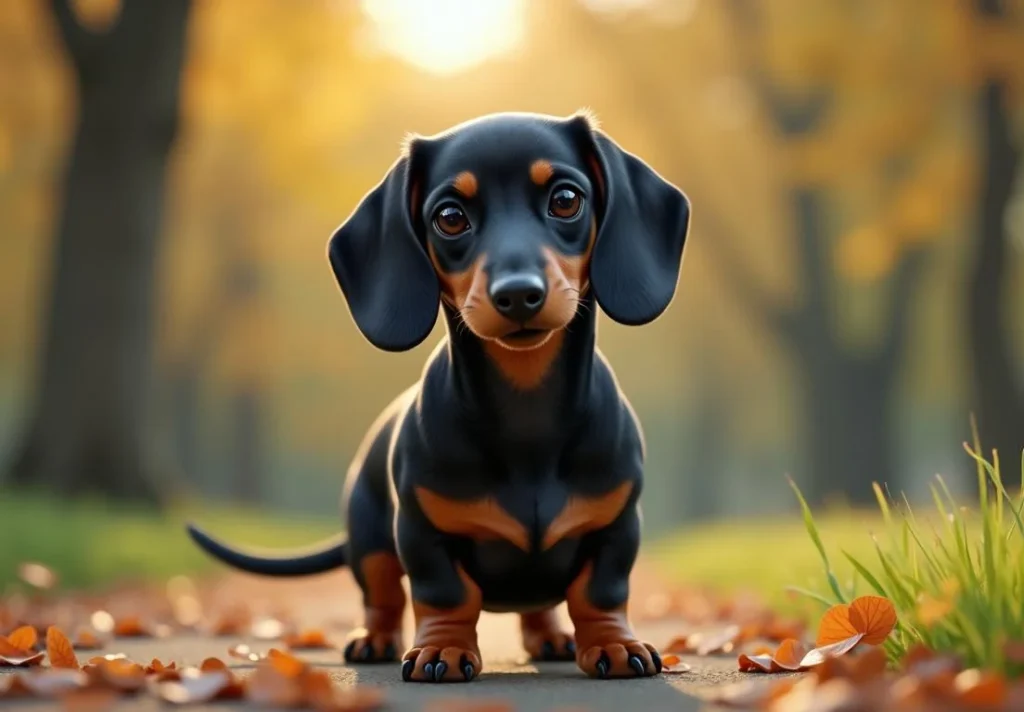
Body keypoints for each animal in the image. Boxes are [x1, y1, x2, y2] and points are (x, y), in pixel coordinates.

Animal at [188, 111, 692, 684]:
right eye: (450, 217)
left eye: (566, 200)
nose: (518, 294)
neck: (528, 415)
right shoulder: (420, 532)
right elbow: (445, 595)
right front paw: (444, 650)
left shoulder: (617, 525)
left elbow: (601, 592)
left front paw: (612, 643)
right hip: (371, 540)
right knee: (382, 595)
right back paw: (375, 639)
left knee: (538, 605)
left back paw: (550, 638)